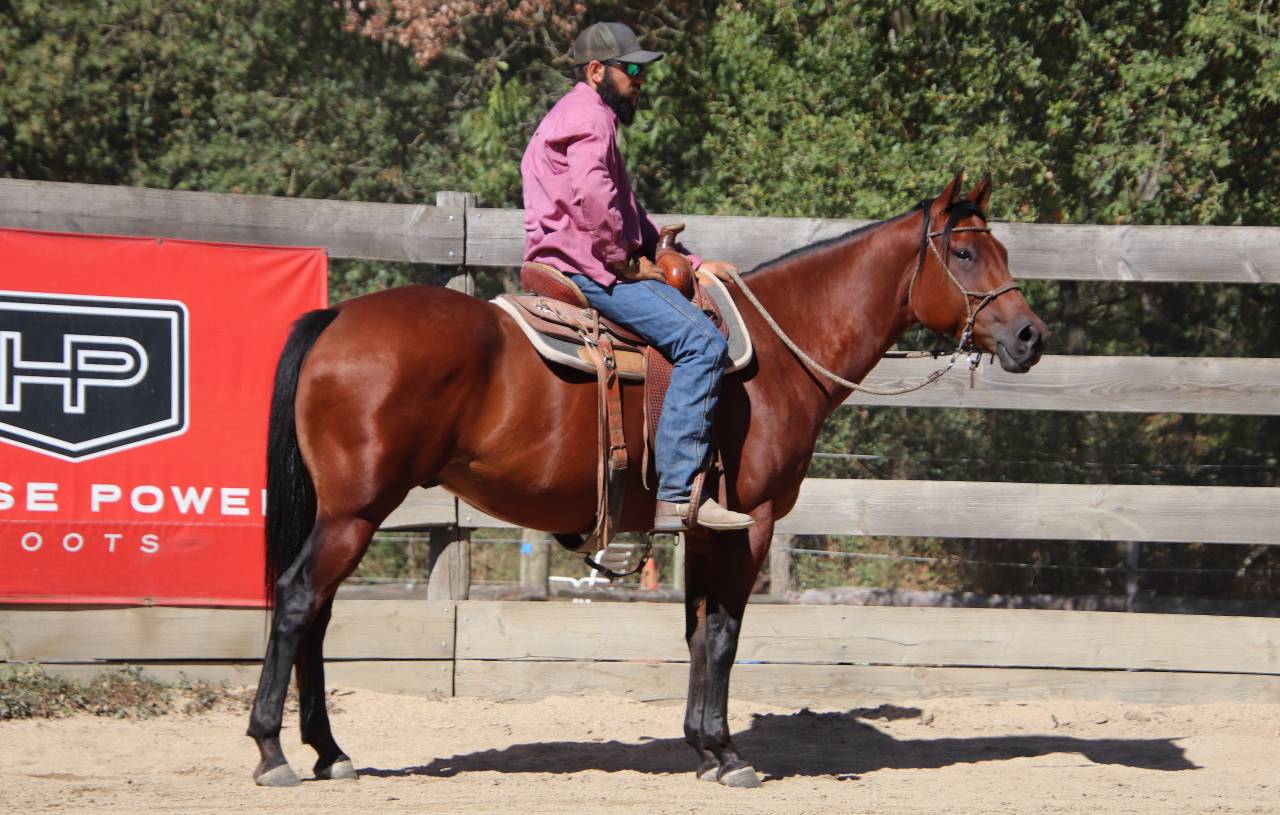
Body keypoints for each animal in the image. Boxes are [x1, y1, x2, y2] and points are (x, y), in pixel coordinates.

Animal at [247, 171, 1047, 788]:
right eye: (966, 251)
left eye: (1001, 247)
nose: (1029, 336)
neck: (778, 354)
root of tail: (336, 317)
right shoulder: (751, 523)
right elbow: (723, 633)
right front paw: (726, 752)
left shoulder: (699, 524)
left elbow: (696, 629)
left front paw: (702, 746)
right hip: (354, 513)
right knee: (298, 601)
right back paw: (274, 750)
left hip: (342, 513)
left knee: (317, 614)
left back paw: (329, 752)